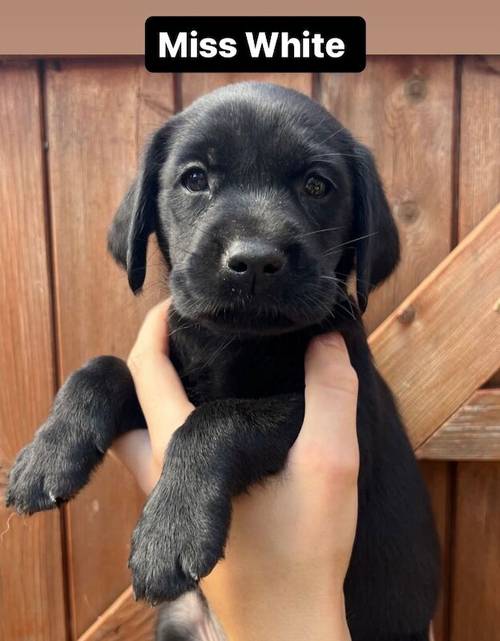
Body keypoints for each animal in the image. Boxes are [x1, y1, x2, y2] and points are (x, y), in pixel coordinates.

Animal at [5, 85, 440, 640]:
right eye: (194, 179)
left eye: (317, 186)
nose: (253, 260)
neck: (235, 343)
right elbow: (102, 368)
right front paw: (47, 456)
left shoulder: (336, 411)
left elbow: (219, 420)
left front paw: (170, 532)